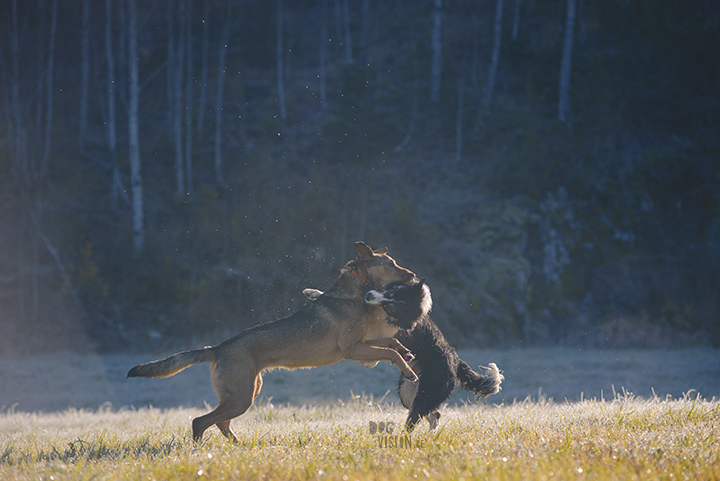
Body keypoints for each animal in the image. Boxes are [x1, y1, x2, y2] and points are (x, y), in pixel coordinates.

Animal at [131, 242, 416, 440]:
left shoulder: (364, 343)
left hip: (247, 392)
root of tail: (218, 349)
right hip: (241, 397)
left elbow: (392, 346)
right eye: (390, 264)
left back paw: (238, 446)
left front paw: (408, 354)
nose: (413, 275)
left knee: (220, 422)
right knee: (200, 421)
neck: (353, 292)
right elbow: (390, 353)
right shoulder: (352, 349)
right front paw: (409, 372)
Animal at [302, 278, 500, 432]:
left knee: (416, 420)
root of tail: (455, 361)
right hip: (407, 391)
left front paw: (368, 362)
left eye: (390, 307)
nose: (369, 295)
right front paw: (313, 292)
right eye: (391, 291)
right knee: (434, 414)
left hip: (427, 393)